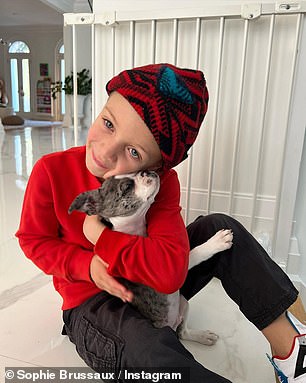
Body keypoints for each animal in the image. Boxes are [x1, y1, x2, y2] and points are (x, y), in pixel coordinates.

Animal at [68, 171, 232, 344]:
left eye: (135, 171)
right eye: (127, 186)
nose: (146, 171)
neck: (134, 231)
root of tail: (172, 325)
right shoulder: (161, 268)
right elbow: (193, 253)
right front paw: (217, 242)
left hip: (184, 303)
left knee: (184, 332)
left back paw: (202, 336)